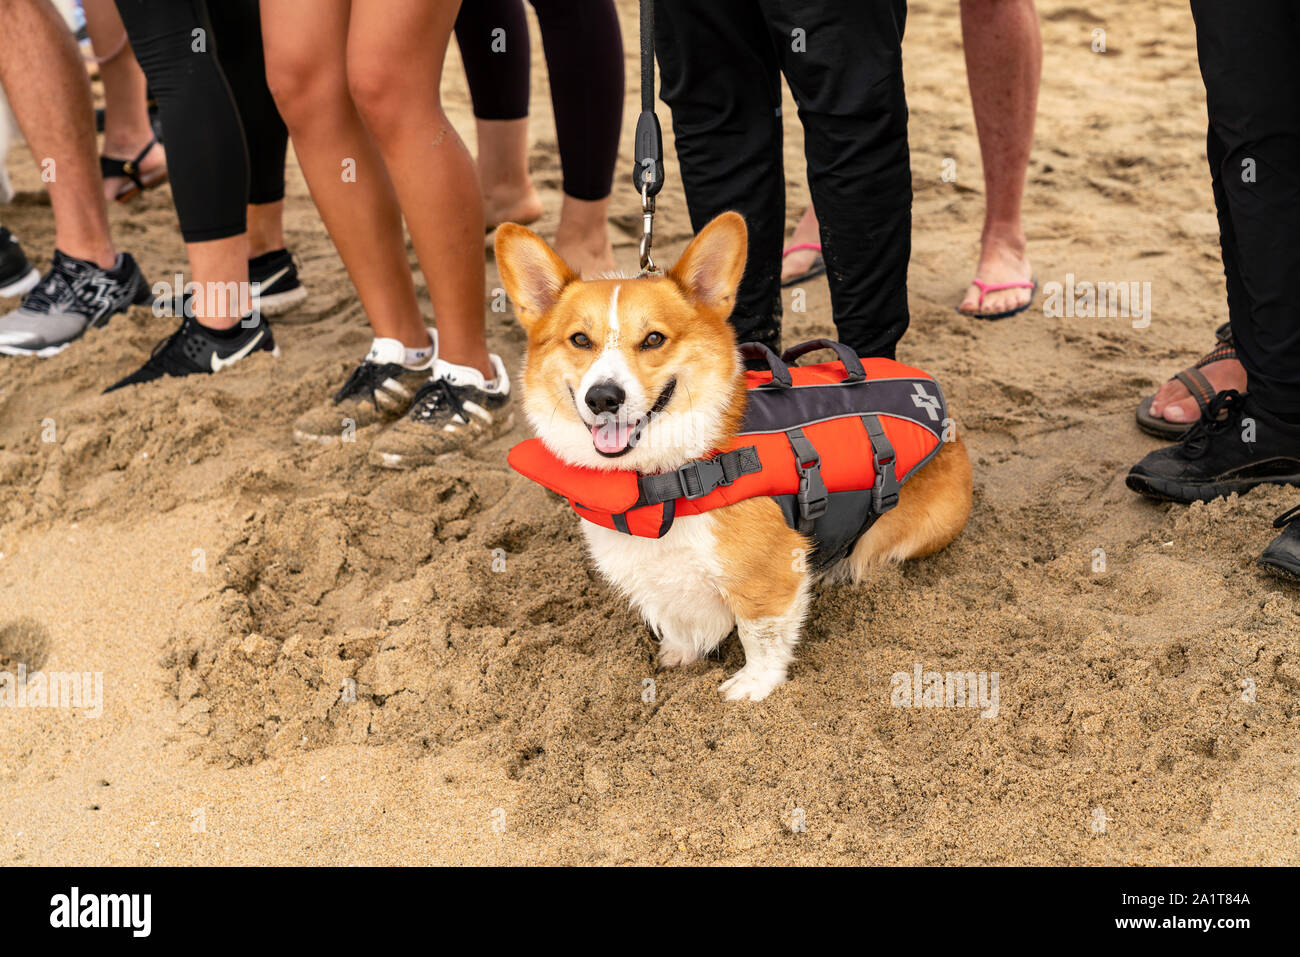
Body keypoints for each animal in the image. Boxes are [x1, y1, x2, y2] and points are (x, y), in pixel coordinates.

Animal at [496, 213, 977, 696]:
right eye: (579, 339)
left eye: (653, 339)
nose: (603, 398)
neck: (663, 475)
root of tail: (948, 423)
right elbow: (676, 619)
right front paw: (680, 654)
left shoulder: (769, 577)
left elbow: (759, 633)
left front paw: (752, 686)